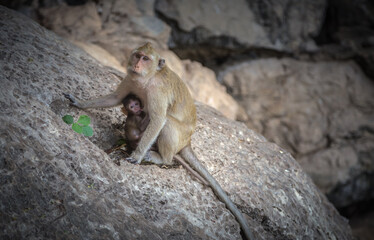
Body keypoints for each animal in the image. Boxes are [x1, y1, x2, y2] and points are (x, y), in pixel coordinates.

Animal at [63, 42, 254, 239]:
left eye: (146, 59)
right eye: (138, 55)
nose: (137, 65)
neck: (147, 78)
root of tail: (188, 141)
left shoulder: (158, 92)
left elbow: (158, 119)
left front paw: (137, 155)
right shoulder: (130, 79)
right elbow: (115, 98)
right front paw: (80, 102)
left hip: (180, 135)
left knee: (167, 123)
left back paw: (162, 158)